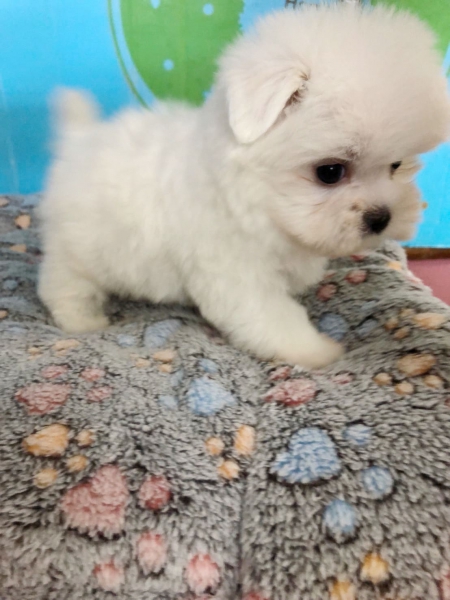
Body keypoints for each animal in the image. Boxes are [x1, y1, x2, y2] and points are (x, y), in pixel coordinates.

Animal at [38, 2, 450, 369]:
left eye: (396, 165)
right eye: (330, 172)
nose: (381, 218)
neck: (255, 197)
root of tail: (78, 138)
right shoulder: (236, 274)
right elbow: (274, 318)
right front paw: (317, 352)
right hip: (81, 248)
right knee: (63, 283)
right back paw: (82, 320)